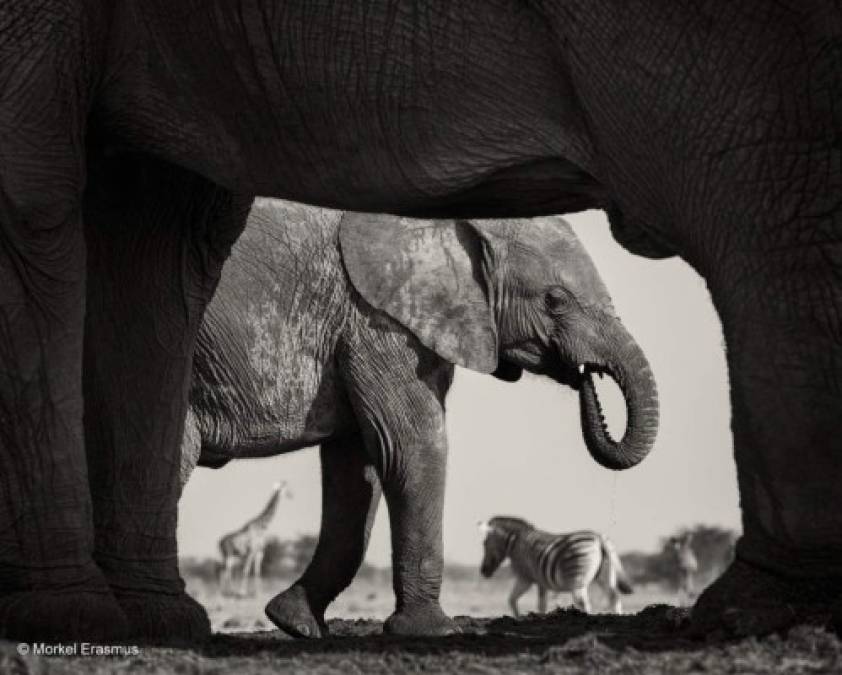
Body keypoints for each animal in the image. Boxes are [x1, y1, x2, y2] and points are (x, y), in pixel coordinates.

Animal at [476, 516, 632, 616]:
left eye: (484, 543)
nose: (483, 571)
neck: (515, 542)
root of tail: (599, 539)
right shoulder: (539, 581)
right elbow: (519, 601)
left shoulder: (525, 577)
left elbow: (518, 601)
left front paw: (519, 617)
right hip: (605, 576)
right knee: (614, 598)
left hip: (577, 578)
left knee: (583, 603)